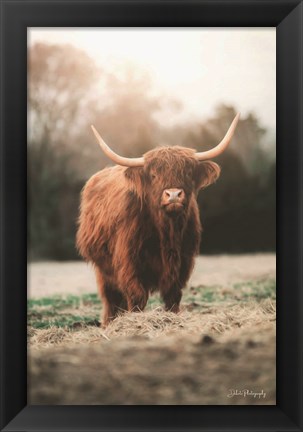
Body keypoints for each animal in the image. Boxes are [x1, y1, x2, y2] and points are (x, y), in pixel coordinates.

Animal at [76, 113, 240, 326]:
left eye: (188, 173)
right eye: (153, 175)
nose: (173, 195)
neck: (167, 232)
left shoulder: (182, 263)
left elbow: (173, 296)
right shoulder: (128, 264)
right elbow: (136, 296)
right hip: (103, 269)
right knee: (110, 299)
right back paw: (109, 324)